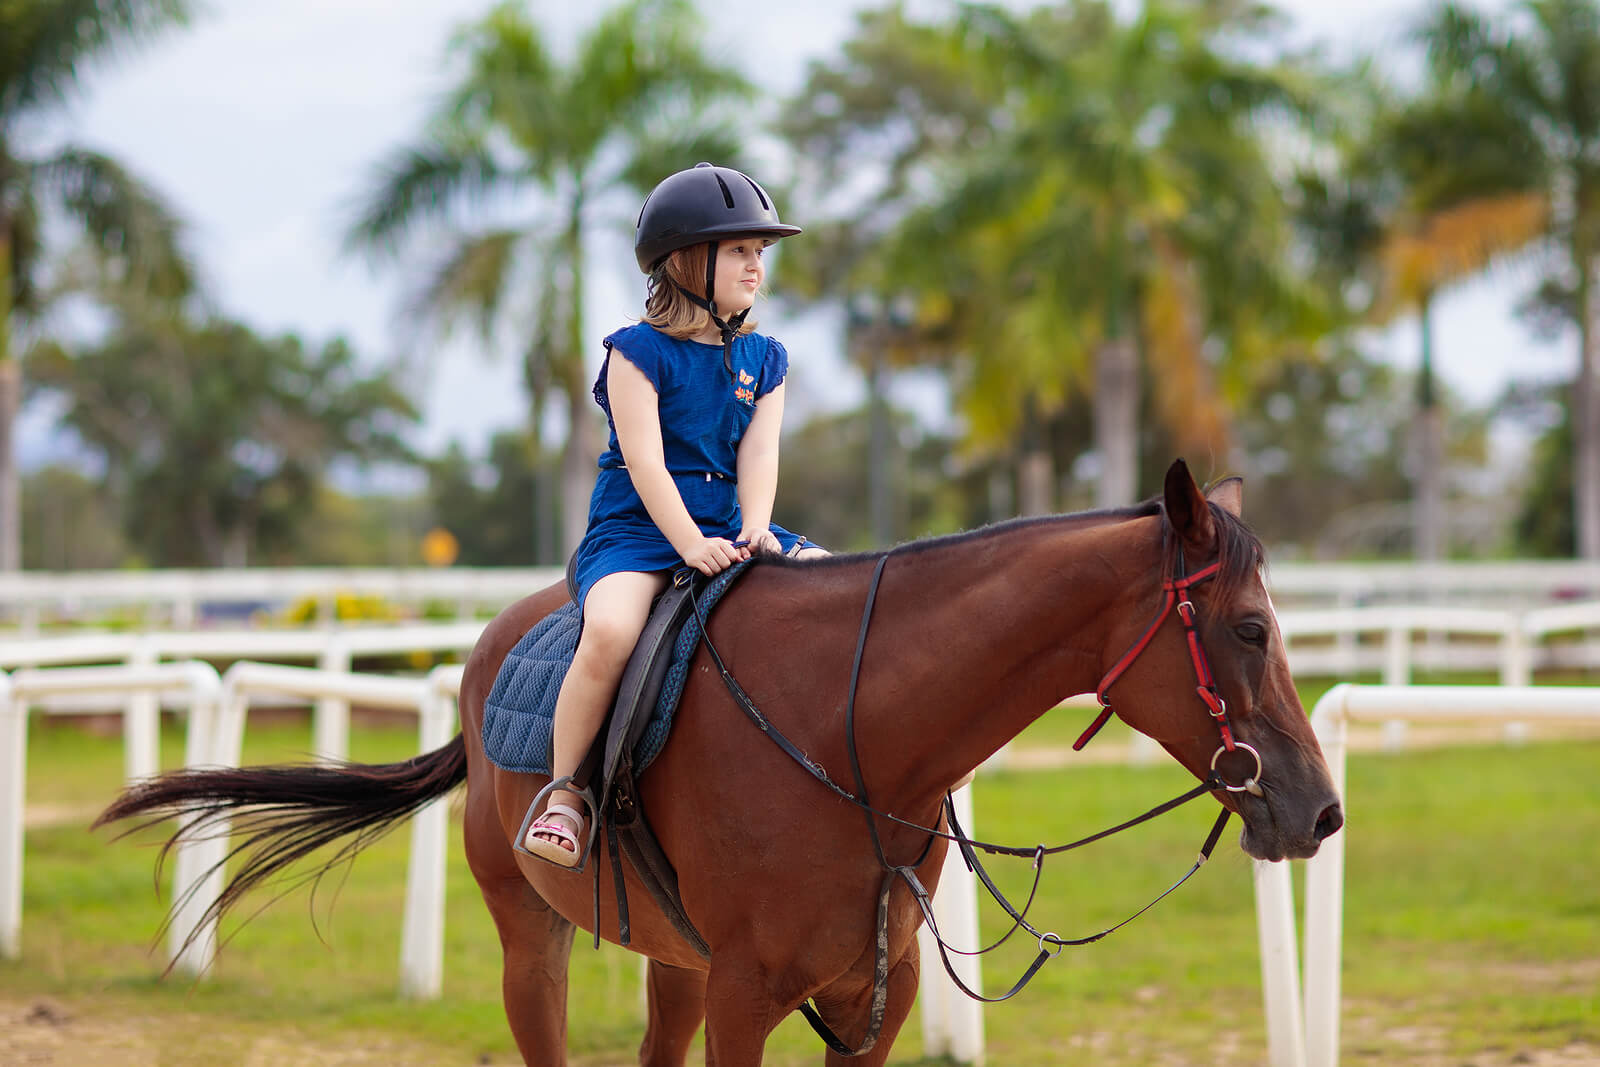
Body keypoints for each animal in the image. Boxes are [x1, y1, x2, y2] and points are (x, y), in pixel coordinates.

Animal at [100, 460, 1344, 1067]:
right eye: (1248, 628)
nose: (1320, 809)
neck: (853, 735)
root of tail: (498, 636)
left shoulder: (870, 998)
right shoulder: (749, 996)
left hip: (673, 957)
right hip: (532, 933)